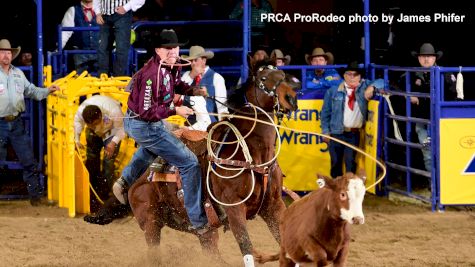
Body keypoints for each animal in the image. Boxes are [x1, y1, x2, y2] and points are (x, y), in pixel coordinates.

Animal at [126, 58, 298, 266]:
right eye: (263, 78)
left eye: (283, 75)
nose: (291, 98)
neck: (253, 155)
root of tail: (137, 176)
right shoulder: (234, 209)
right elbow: (246, 247)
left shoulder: (274, 205)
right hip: (151, 221)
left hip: (203, 230)